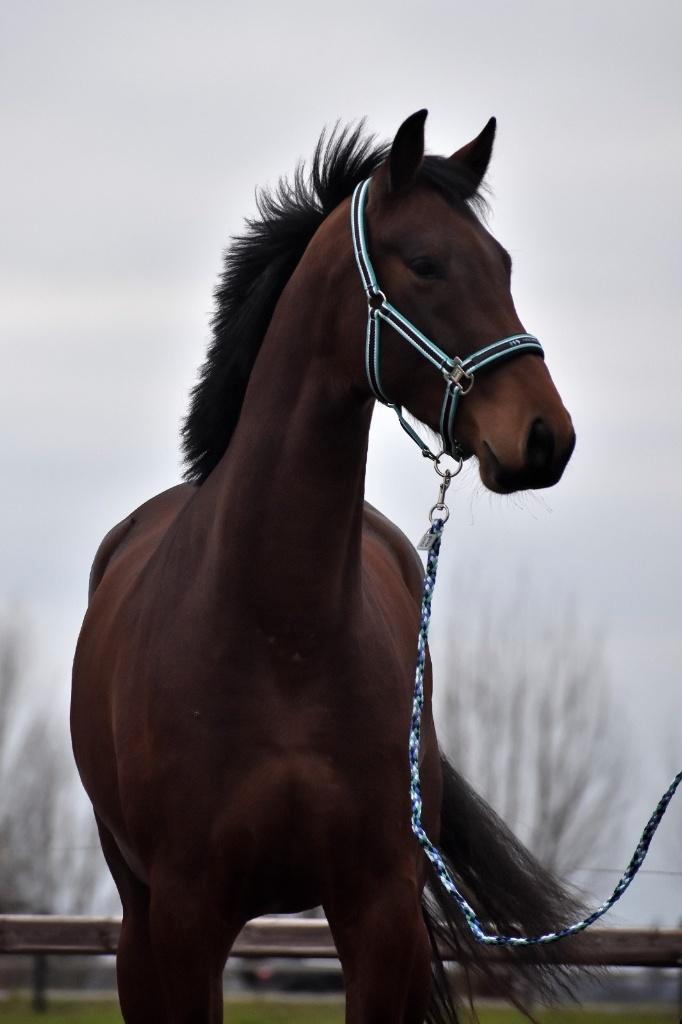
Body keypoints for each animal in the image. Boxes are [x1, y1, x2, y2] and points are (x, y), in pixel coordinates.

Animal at [71, 110, 579, 1023]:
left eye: (504, 264)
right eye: (425, 263)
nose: (545, 434)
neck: (284, 633)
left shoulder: (380, 909)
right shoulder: (188, 914)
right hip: (136, 922)